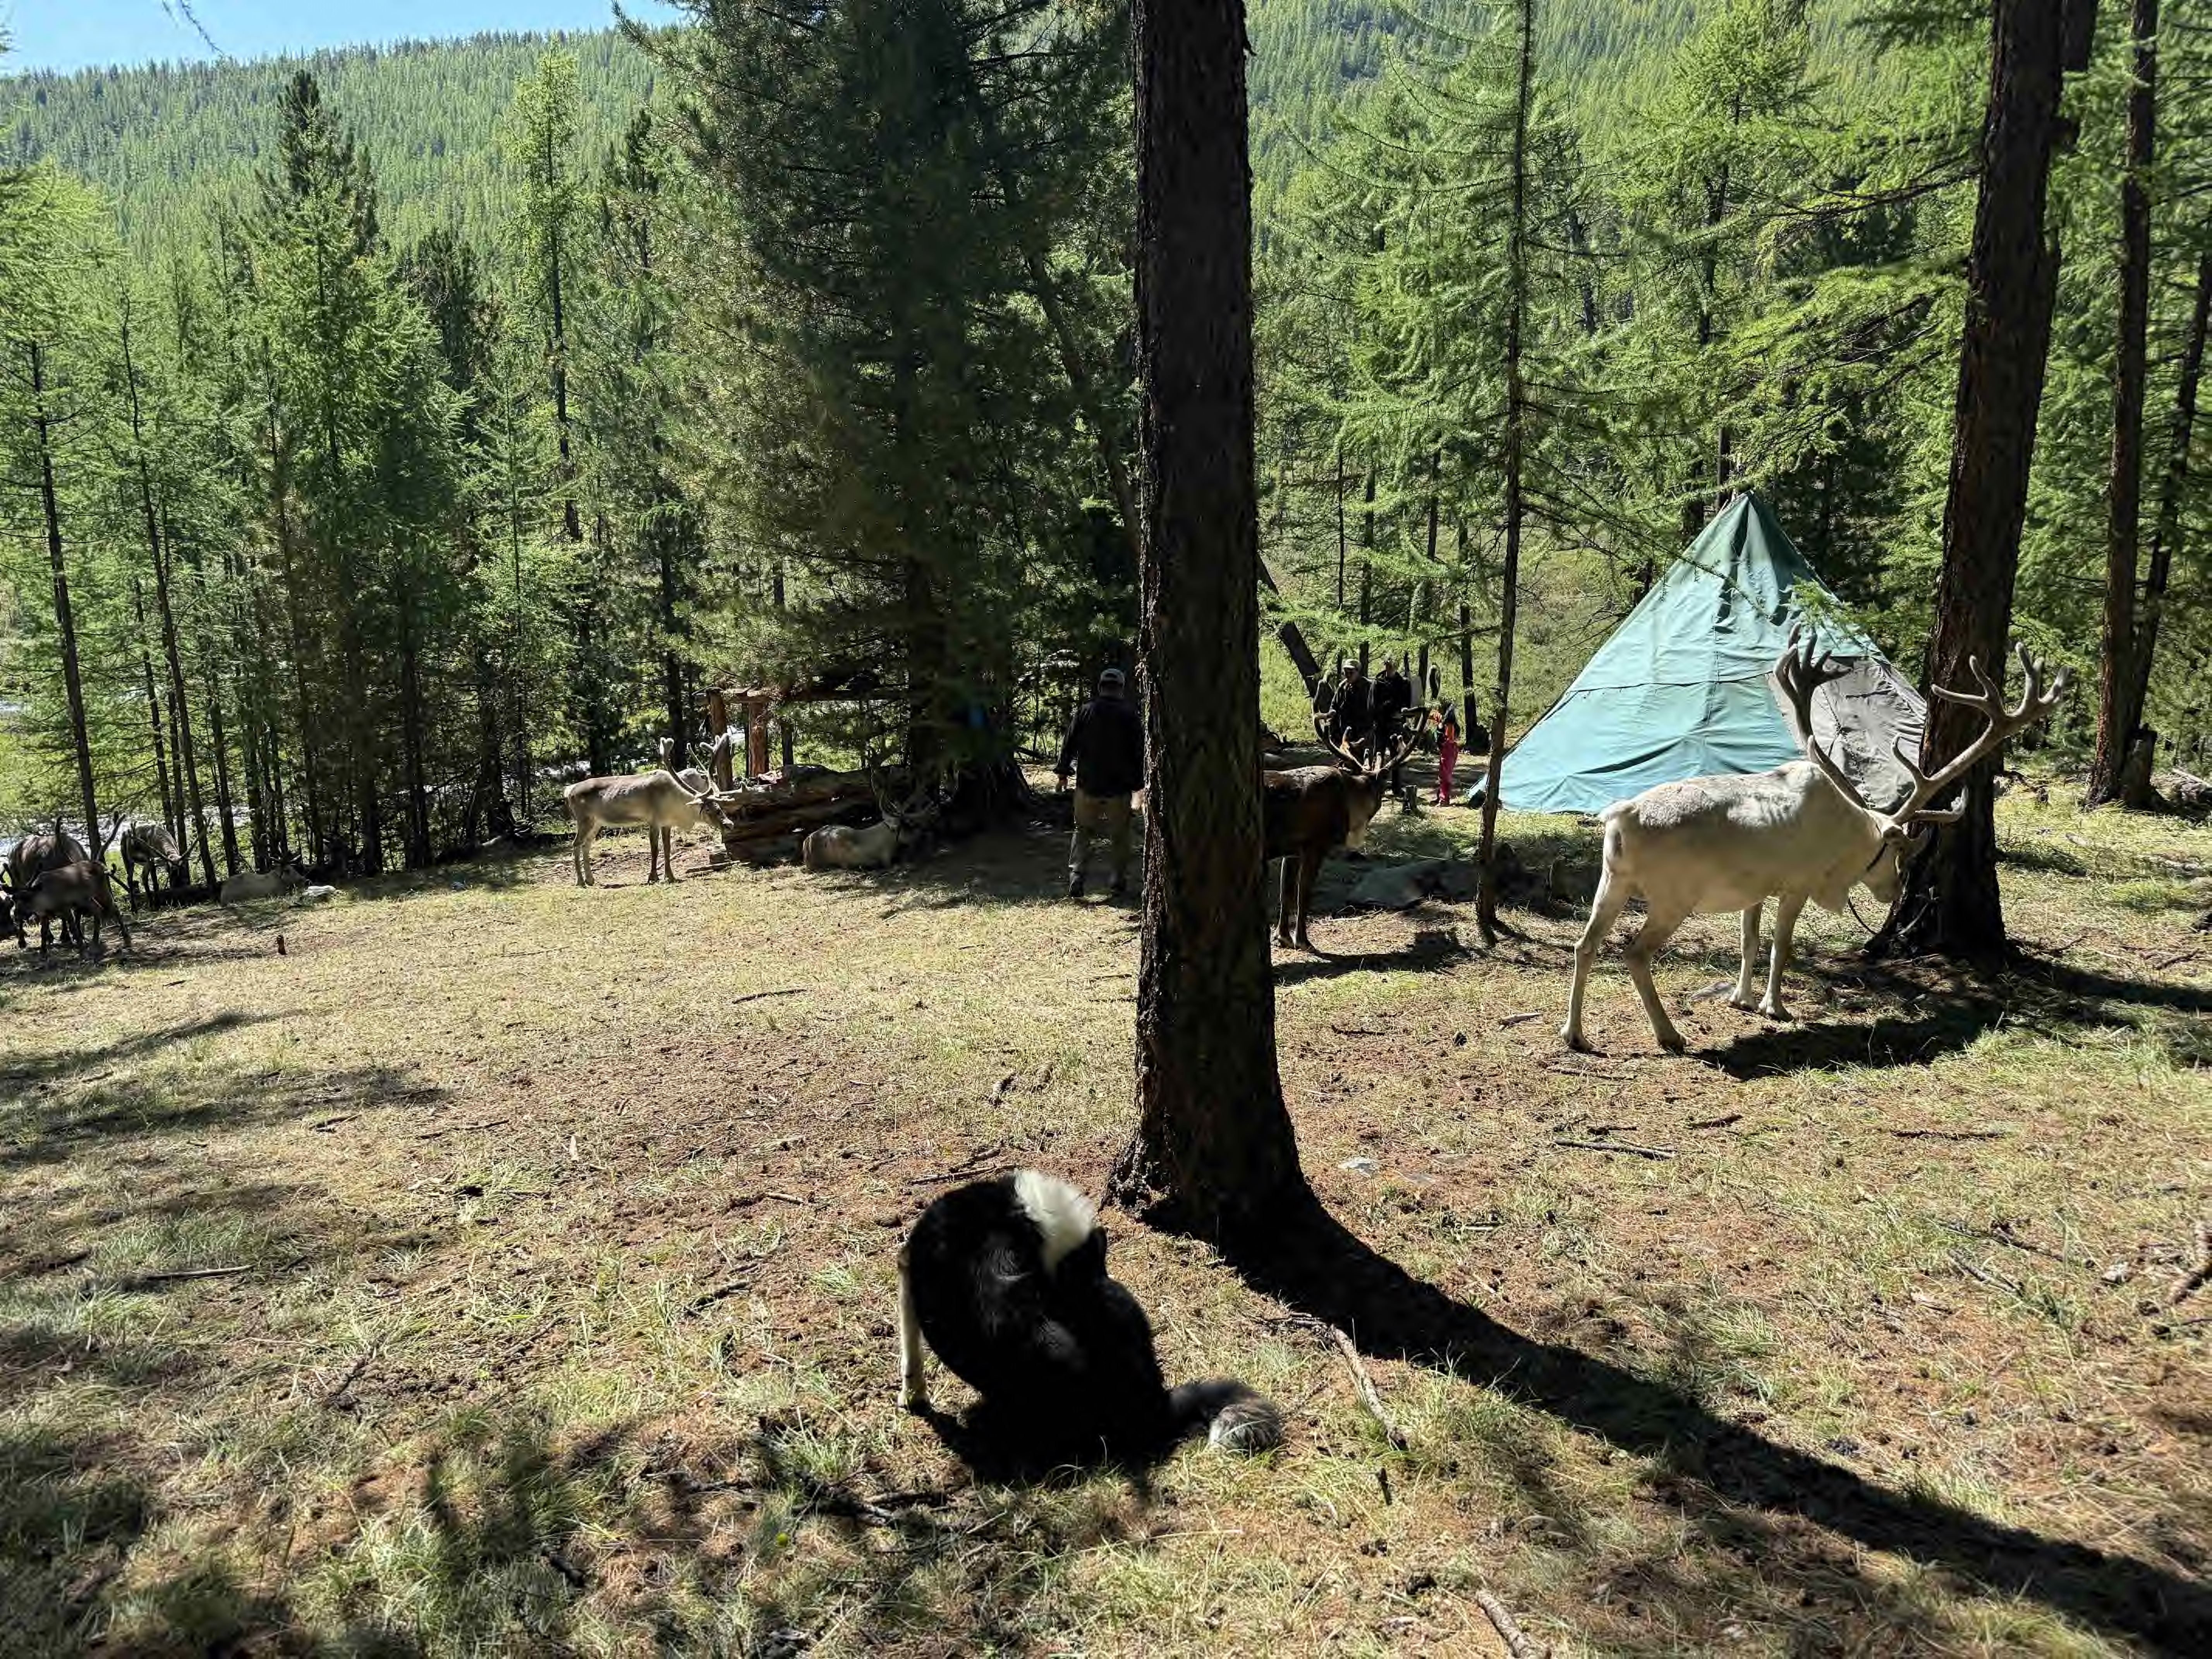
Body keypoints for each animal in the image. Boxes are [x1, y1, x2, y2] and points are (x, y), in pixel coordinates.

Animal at [564, 768, 735, 886]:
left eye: (718, 806)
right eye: (708, 810)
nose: (729, 825)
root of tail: (569, 790)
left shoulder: (667, 823)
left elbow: (667, 849)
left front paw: (670, 876)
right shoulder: (654, 821)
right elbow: (655, 850)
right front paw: (653, 877)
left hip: (596, 823)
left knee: (586, 846)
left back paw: (591, 880)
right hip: (584, 819)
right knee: (576, 844)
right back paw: (580, 881)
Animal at [1263, 710, 1427, 950]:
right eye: (1383, 786)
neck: (1351, 801)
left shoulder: (1292, 849)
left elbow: (1287, 891)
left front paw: (1282, 937)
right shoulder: (1316, 844)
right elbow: (1304, 894)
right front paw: (1303, 941)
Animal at [1562, 634, 2068, 1054]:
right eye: (1899, 851)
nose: (1894, 892)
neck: (1845, 841)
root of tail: (1620, 817)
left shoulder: (1755, 890)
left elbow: (1750, 940)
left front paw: (1742, 999)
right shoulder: (1797, 884)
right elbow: (1782, 945)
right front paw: (1776, 1007)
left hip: (1612, 882)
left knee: (1585, 945)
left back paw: (1575, 1034)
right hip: (1672, 897)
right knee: (1634, 953)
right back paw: (1669, 1035)